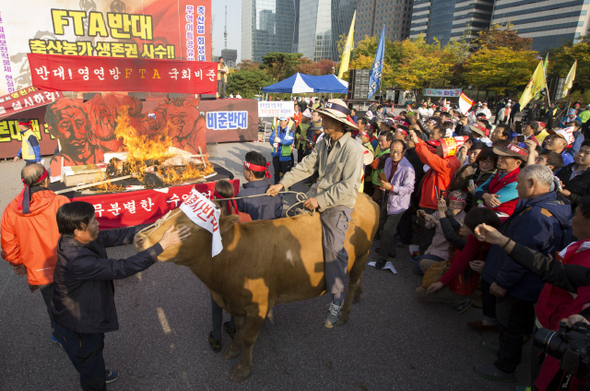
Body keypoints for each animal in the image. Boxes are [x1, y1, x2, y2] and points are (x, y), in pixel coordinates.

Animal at [134, 194, 380, 382]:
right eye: (164, 216)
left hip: (362, 255)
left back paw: (344, 312)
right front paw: (233, 349)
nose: (139, 238)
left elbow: (249, 338)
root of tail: (366, 198)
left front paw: (242, 368)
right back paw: (358, 296)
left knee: (353, 280)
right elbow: (240, 330)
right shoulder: (236, 303)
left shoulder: (259, 305)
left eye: (183, 229)